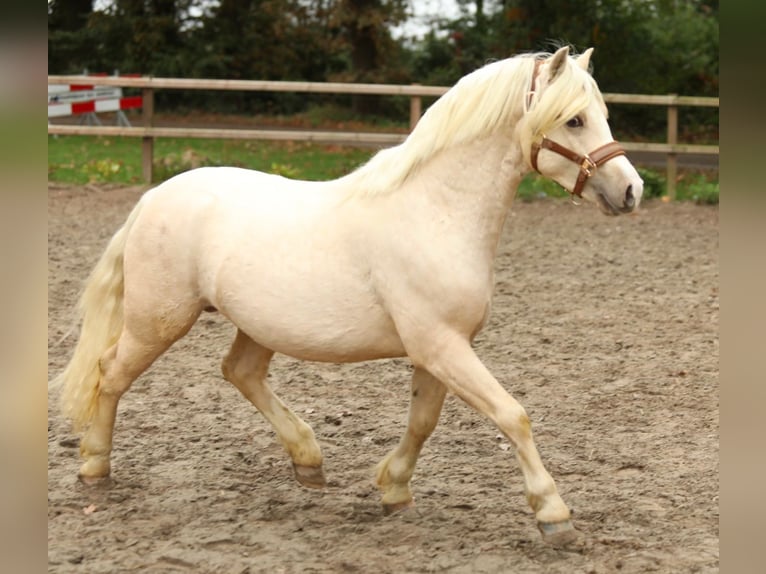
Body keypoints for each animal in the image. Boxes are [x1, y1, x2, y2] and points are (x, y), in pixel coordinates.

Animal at [54, 46, 643, 548]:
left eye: (601, 114)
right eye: (573, 120)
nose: (632, 191)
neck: (436, 212)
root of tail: (154, 195)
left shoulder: (438, 350)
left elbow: (423, 422)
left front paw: (394, 490)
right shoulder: (441, 346)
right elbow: (512, 415)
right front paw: (554, 516)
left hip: (258, 325)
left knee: (239, 372)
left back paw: (308, 461)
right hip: (158, 321)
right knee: (111, 372)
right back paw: (94, 468)